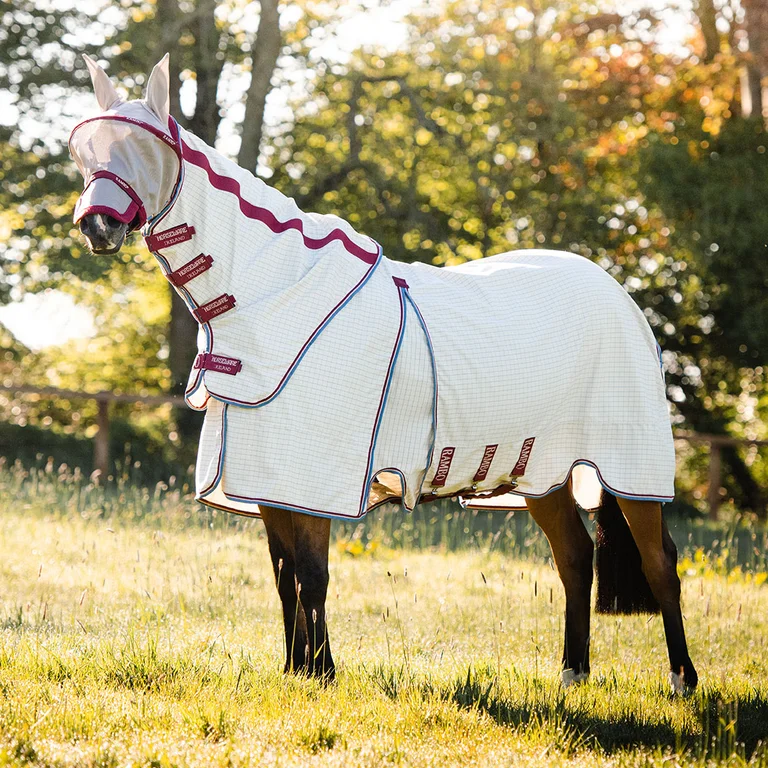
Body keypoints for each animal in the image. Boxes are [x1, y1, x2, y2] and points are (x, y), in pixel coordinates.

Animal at [70, 54, 696, 688]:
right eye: (85, 151)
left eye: (141, 147)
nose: (97, 226)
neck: (278, 295)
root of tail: (620, 296)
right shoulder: (270, 484)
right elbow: (284, 578)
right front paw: (297, 669)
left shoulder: (316, 482)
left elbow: (312, 577)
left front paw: (322, 672)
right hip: (541, 472)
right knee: (574, 558)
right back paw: (572, 674)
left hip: (631, 467)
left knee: (658, 561)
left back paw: (682, 679)